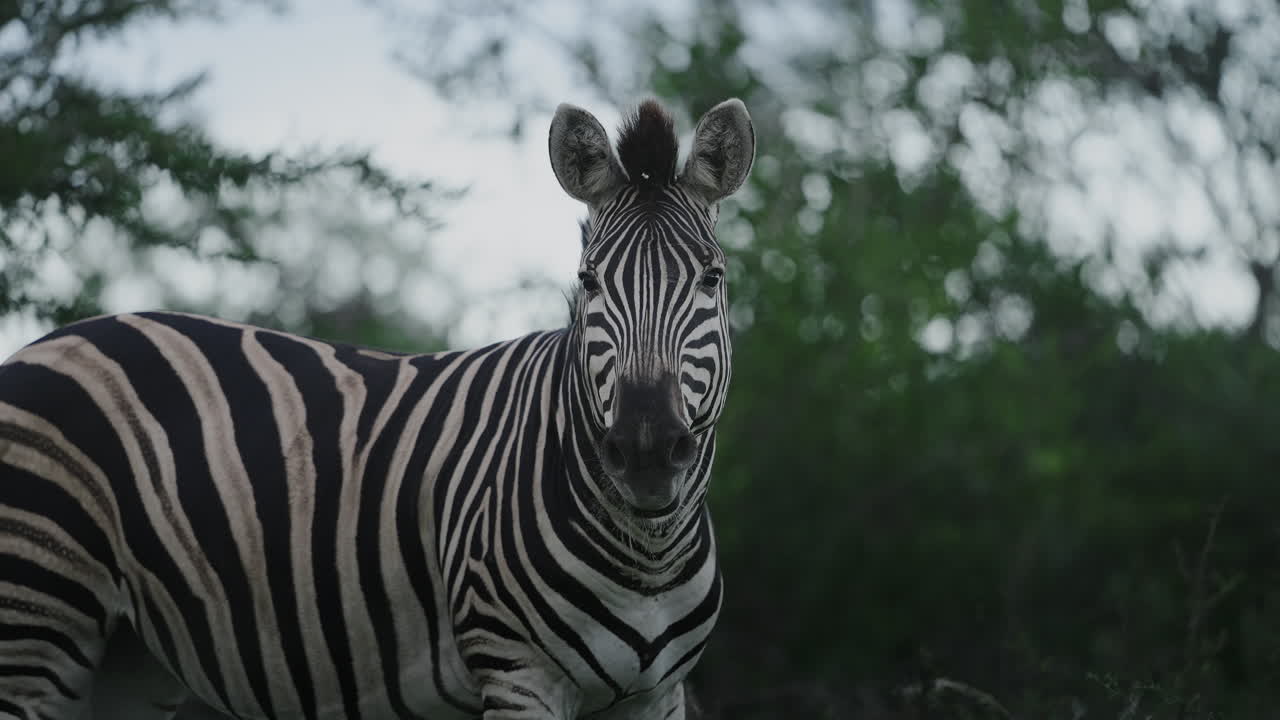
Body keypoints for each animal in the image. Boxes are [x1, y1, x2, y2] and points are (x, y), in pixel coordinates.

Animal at [0, 97, 754, 720]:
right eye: (589, 281)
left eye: (713, 278)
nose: (646, 449)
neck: (645, 558)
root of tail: (55, 339)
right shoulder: (519, 675)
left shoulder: (657, 695)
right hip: (37, 619)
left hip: (115, 651)